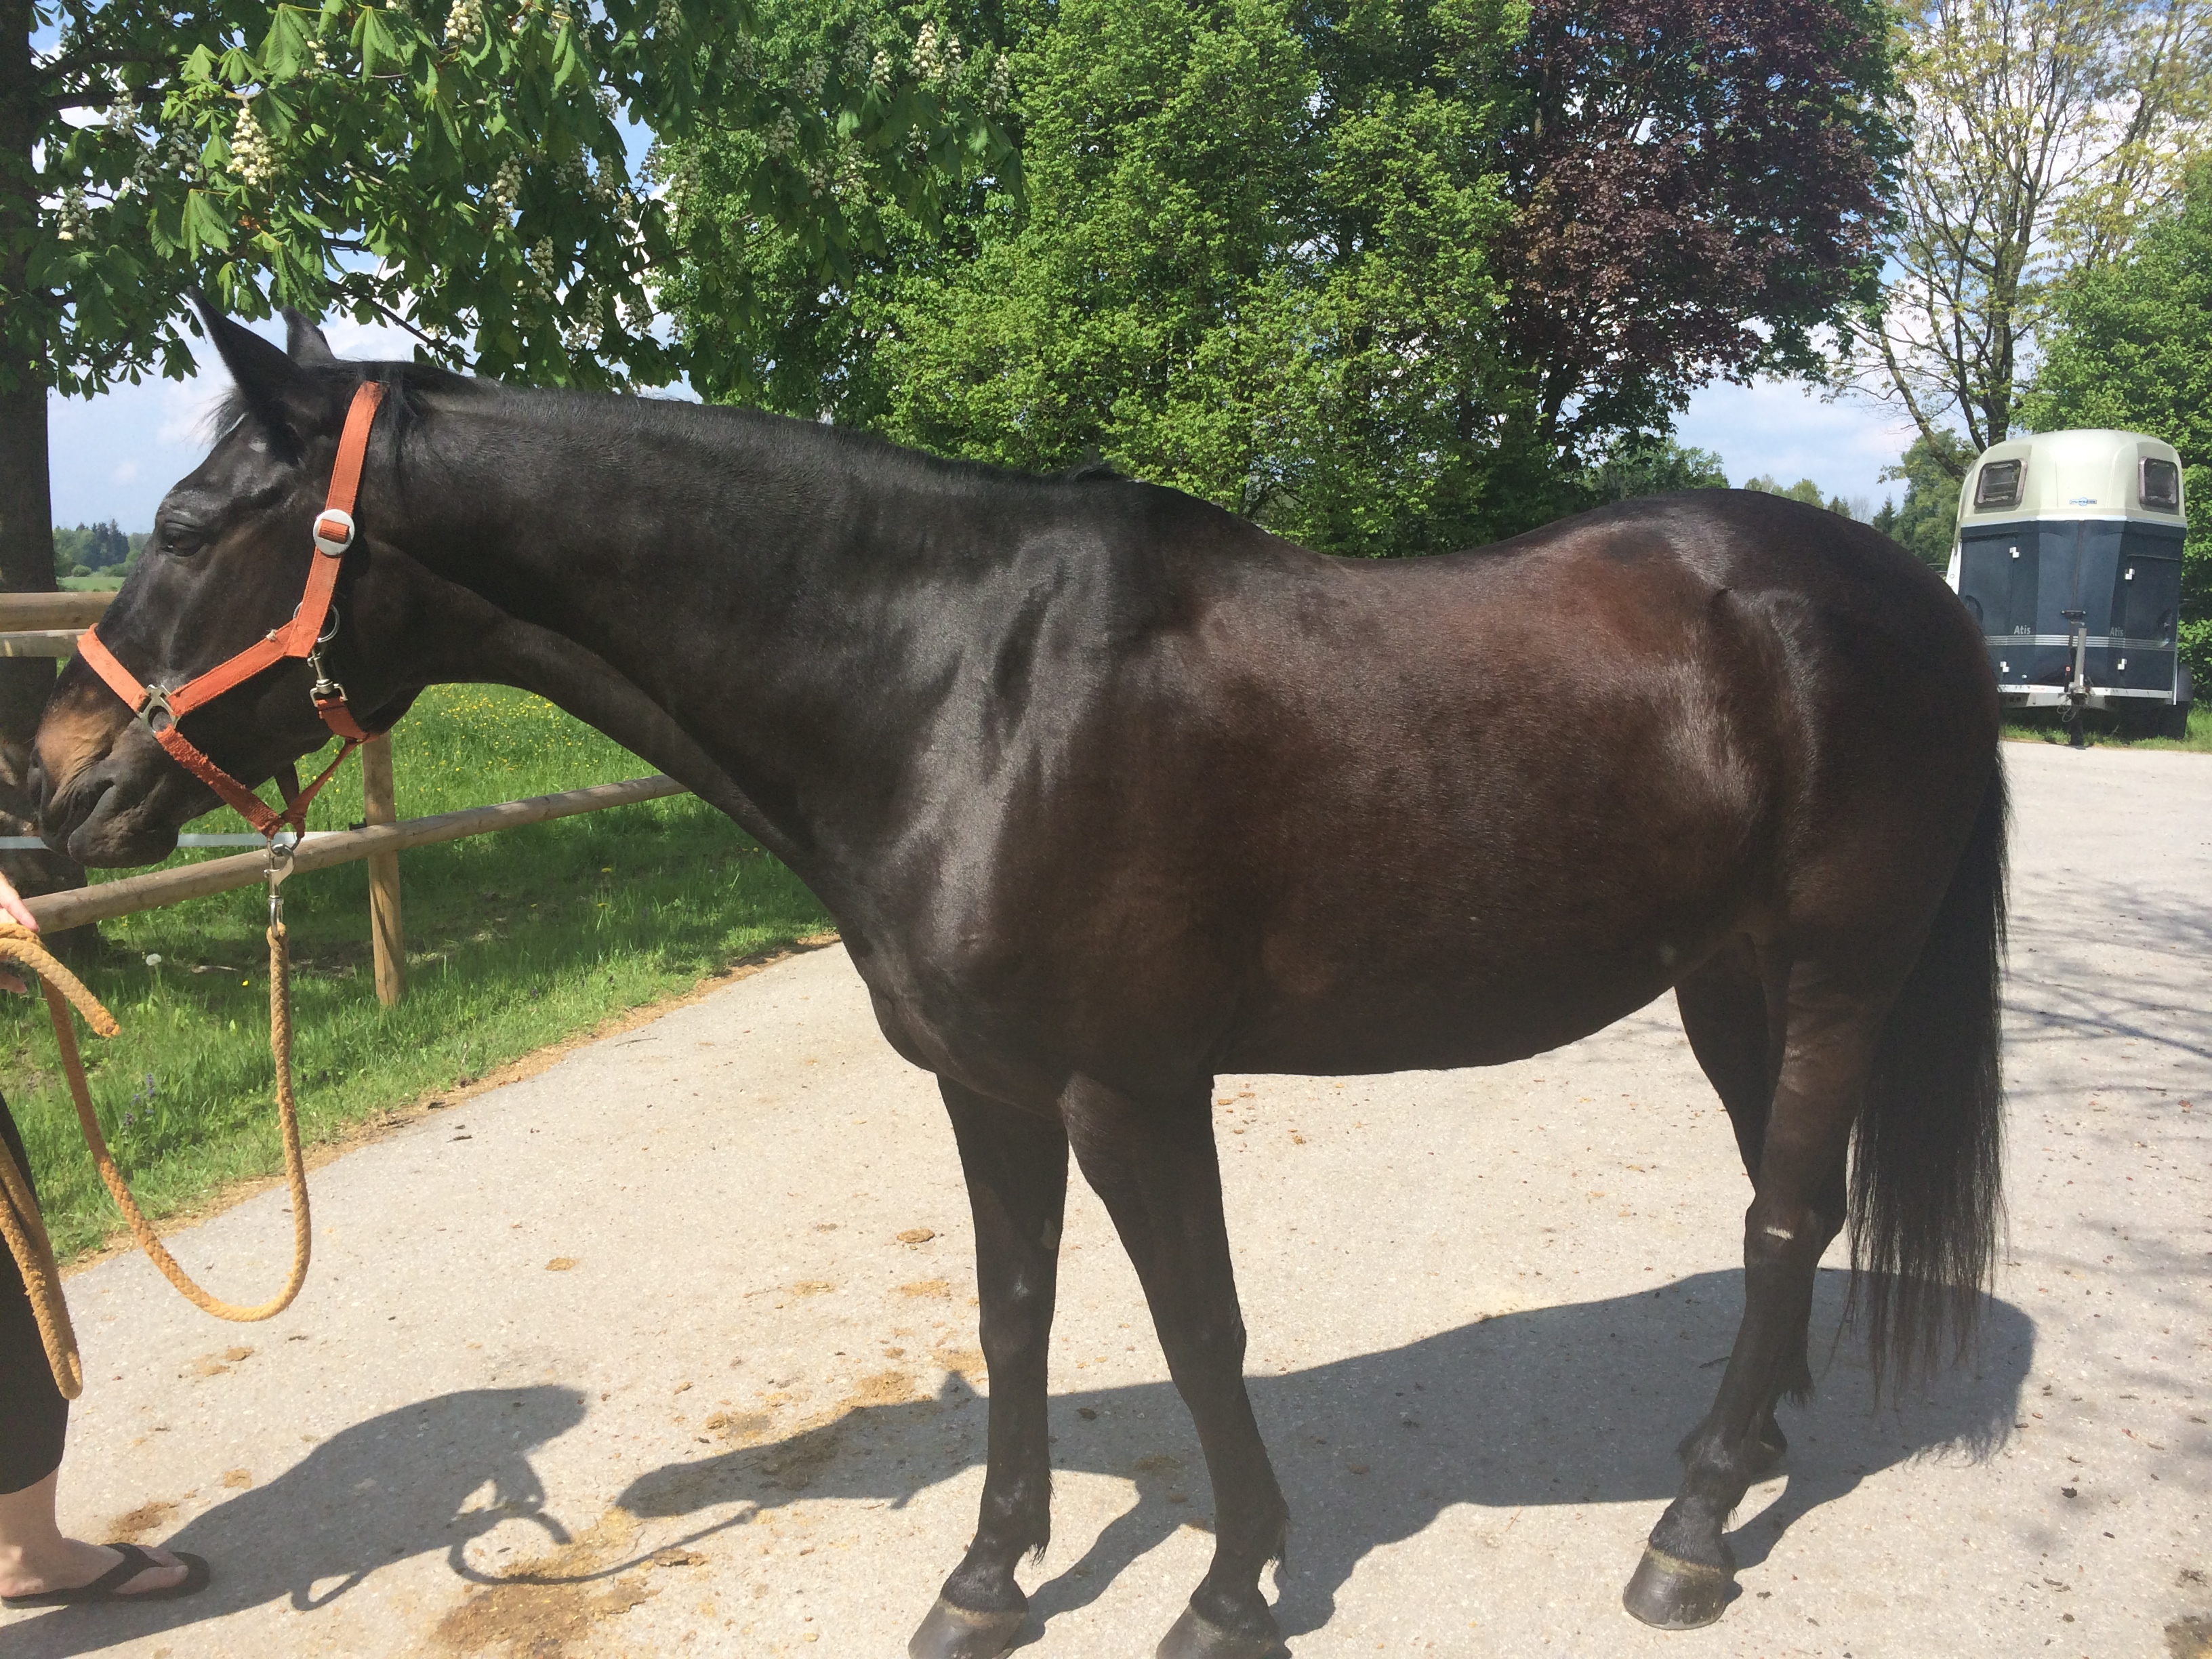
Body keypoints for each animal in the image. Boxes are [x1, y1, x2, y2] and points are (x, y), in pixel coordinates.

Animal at [30, 304, 2006, 1658]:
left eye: (195, 525)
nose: (50, 787)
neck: (958, 687)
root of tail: (1904, 596)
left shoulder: (1132, 1088)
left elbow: (1200, 1330)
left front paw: (1232, 1587)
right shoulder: (985, 1084)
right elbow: (1018, 1313)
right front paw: (988, 1576)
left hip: (1832, 973)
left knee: (1782, 1213)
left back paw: (1688, 1537)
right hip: (1728, 984)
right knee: (1786, 1207)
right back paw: (1735, 1449)